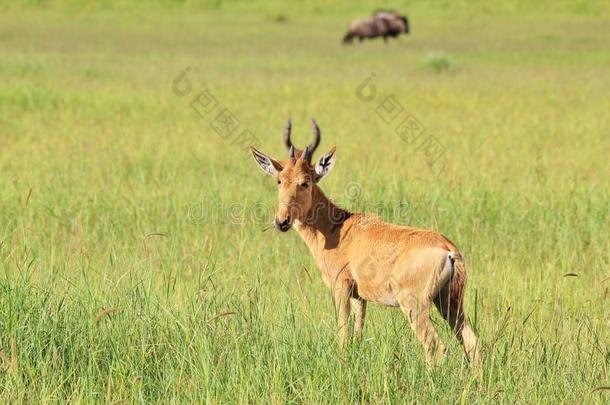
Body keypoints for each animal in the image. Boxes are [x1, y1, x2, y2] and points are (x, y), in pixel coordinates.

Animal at [247, 119, 480, 362]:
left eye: (306, 182)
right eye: (279, 180)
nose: (282, 221)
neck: (339, 228)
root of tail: (449, 250)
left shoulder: (341, 288)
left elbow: (343, 334)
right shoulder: (360, 297)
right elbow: (357, 335)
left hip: (415, 304)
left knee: (434, 344)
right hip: (449, 302)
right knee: (472, 342)